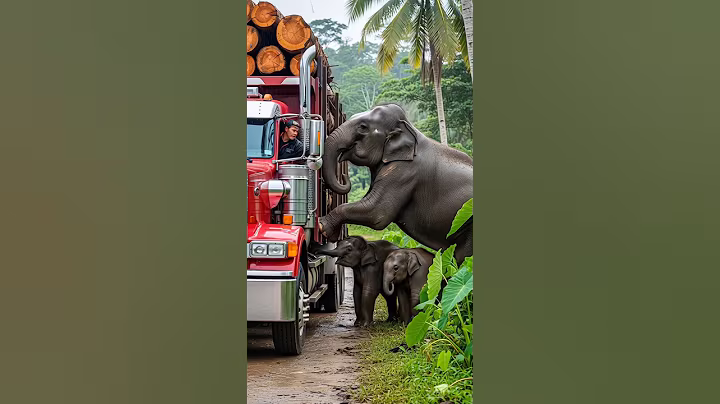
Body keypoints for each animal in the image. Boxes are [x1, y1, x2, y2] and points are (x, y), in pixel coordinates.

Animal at [318, 103, 473, 265]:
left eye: (362, 127)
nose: (343, 175)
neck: (409, 127)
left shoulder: (404, 171)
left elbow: (377, 213)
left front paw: (323, 226)